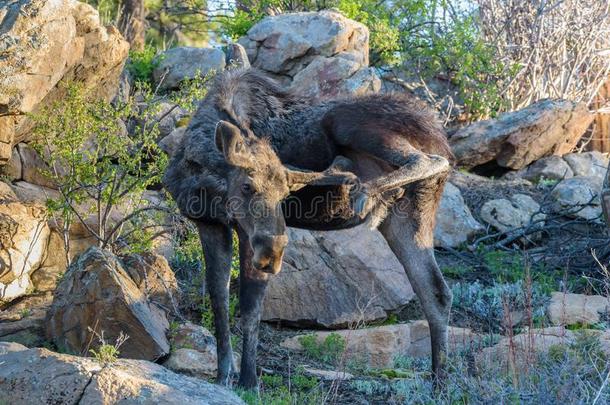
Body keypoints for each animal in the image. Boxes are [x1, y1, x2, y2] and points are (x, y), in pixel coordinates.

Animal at [164, 69, 454, 388]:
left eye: (285, 195)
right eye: (247, 186)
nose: (274, 254)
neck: (201, 170)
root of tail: (440, 137)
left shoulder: (244, 233)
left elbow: (250, 309)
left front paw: (249, 381)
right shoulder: (209, 223)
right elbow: (219, 300)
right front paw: (222, 375)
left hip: (343, 120)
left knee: (427, 160)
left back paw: (364, 190)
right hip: (407, 219)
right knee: (436, 293)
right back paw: (439, 383)